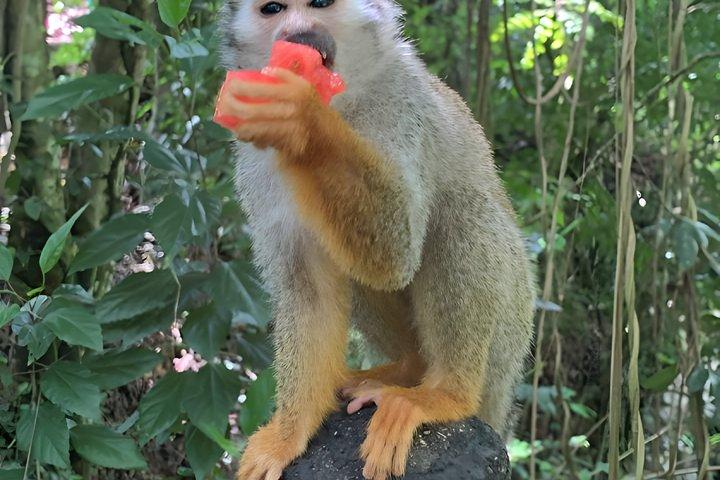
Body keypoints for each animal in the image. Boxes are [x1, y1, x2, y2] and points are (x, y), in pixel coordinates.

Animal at [216, 1, 536, 479]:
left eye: (320, 5)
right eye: (273, 9)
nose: (300, 34)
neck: (341, 100)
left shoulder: (402, 101)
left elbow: (396, 253)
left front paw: (299, 118)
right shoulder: (254, 160)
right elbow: (308, 286)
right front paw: (290, 433)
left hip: (510, 339)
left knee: (460, 212)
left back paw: (445, 394)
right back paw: (408, 368)